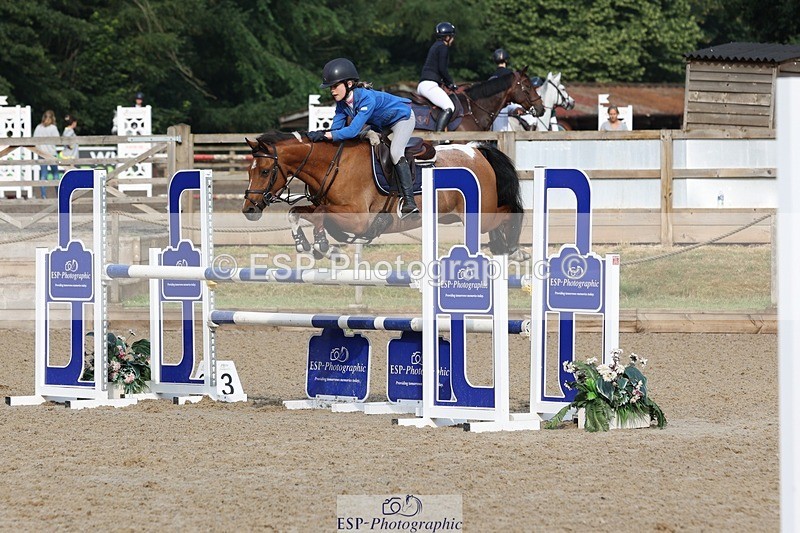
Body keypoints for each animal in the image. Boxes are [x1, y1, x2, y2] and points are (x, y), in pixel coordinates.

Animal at [242, 131, 528, 261]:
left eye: (265, 171)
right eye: (249, 170)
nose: (249, 210)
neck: (333, 166)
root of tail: (476, 150)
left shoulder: (358, 219)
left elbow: (319, 215)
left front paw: (322, 244)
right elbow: (296, 213)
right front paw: (310, 245)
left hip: (481, 213)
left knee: (511, 212)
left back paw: (516, 250)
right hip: (456, 216)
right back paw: (502, 248)